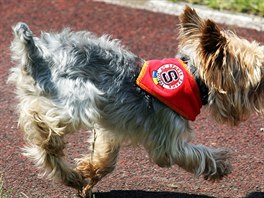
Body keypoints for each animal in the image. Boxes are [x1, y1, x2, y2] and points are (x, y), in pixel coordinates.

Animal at [8, 5, 264, 196]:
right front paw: (220, 165)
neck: (193, 77)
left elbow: (106, 158)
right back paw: (49, 139)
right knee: (41, 122)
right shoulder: (166, 138)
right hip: (79, 97)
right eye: (258, 82)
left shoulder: (110, 130)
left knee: (42, 142)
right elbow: (195, 154)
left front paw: (88, 174)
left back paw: (70, 176)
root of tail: (36, 55)